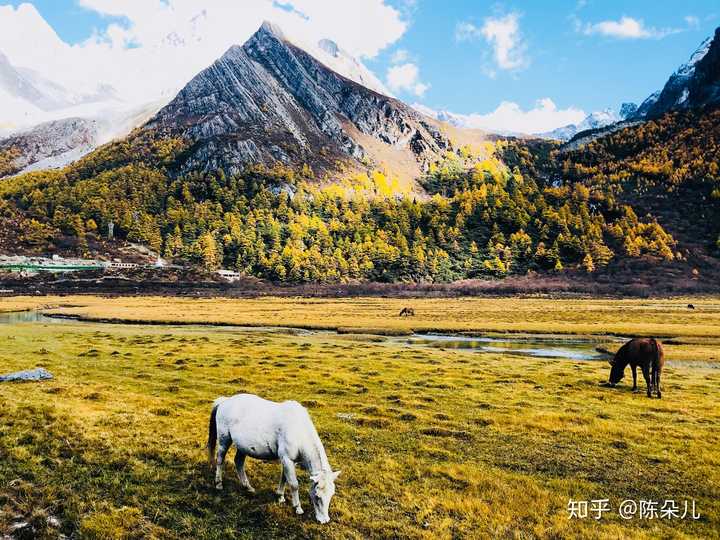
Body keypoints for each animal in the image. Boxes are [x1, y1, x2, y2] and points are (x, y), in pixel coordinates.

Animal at [208, 392, 340, 524]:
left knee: (239, 462)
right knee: (220, 460)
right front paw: (297, 507)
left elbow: (284, 478)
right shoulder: (287, 459)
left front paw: (280, 496)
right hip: (224, 440)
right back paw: (219, 484)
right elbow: (293, 484)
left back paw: (248, 487)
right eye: (317, 496)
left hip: (242, 446)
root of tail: (225, 401)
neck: (297, 430)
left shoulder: (289, 461)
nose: (324, 520)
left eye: (331, 494)